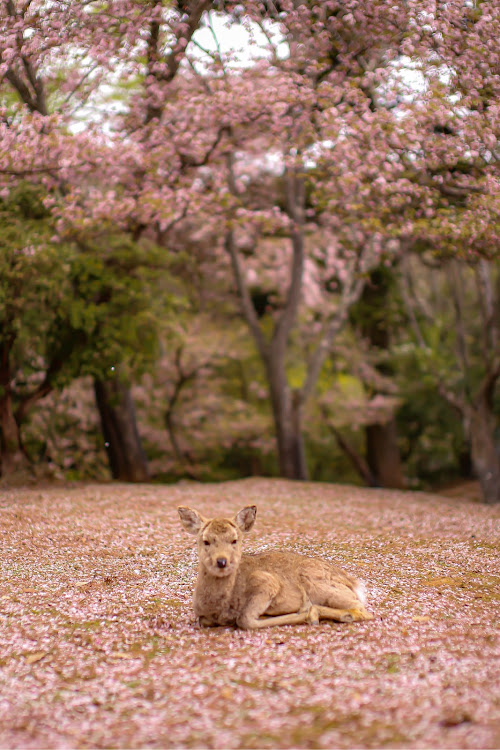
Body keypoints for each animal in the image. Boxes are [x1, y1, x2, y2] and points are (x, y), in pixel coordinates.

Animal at [178, 506, 374, 628]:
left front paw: (303, 614)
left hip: (319, 585)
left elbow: (245, 620)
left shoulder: (267, 581)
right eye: (205, 541)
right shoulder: (202, 616)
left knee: (363, 610)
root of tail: (354, 583)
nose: (221, 561)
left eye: (235, 540)